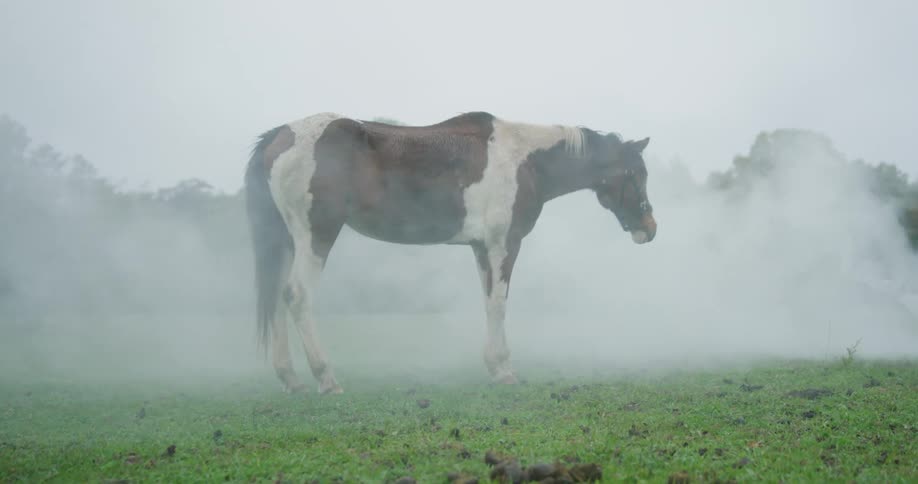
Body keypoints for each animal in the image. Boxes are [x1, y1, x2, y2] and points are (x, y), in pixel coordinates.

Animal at [243, 111, 657, 394]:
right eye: (635, 173)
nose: (650, 228)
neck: (524, 159)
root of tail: (279, 135)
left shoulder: (481, 248)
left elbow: (488, 302)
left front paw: (493, 366)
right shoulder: (504, 244)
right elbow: (499, 303)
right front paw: (505, 370)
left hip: (285, 241)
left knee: (278, 298)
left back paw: (291, 379)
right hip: (317, 235)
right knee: (297, 295)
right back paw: (326, 378)